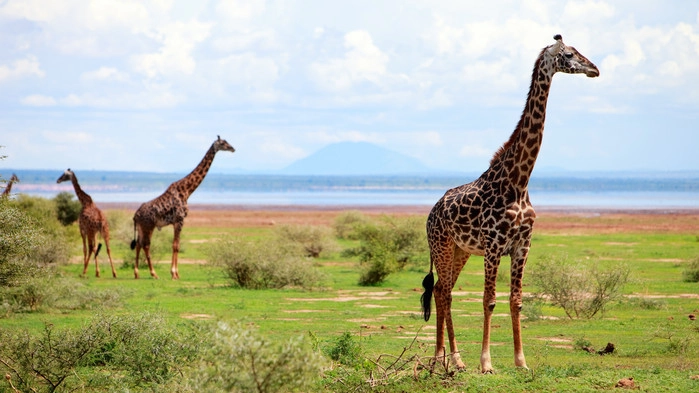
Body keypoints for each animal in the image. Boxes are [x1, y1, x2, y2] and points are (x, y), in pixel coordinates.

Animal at [131, 135, 238, 278]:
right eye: (223, 143)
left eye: (227, 142)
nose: (233, 148)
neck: (187, 190)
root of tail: (135, 215)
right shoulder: (179, 220)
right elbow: (175, 245)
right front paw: (174, 274)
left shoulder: (178, 222)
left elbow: (177, 244)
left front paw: (176, 273)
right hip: (149, 226)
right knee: (146, 245)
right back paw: (154, 274)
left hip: (142, 227)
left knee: (138, 244)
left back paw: (137, 273)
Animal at [422, 35, 600, 372]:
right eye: (570, 54)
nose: (594, 69)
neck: (519, 182)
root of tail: (431, 211)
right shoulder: (494, 245)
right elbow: (489, 300)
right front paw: (486, 364)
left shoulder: (522, 245)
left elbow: (516, 301)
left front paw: (520, 362)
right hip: (441, 246)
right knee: (443, 292)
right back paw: (440, 358)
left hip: (461, 250)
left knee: (442, 290)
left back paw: (456, 359)